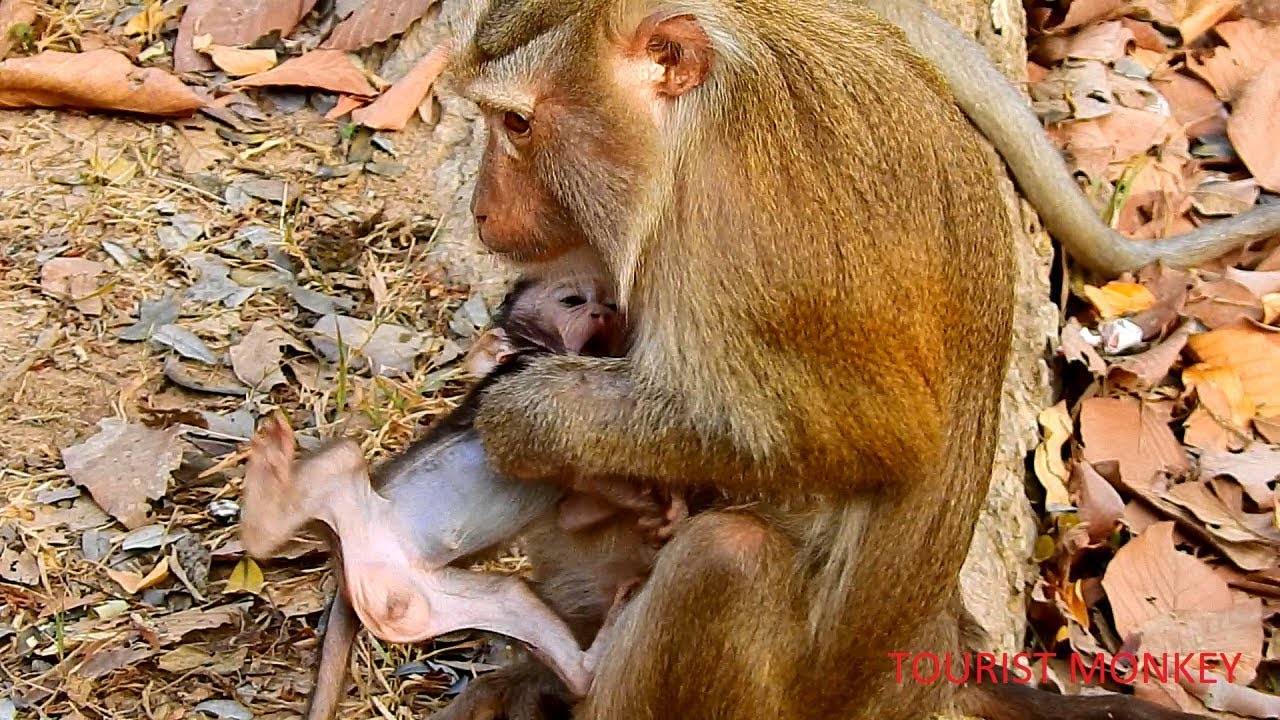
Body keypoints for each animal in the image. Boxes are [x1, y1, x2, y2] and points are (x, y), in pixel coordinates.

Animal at [440, 2, 1216, 720]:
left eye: (516, 125)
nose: (480, 210)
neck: (696, 132)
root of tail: (931, 663)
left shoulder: (750, 240)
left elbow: (871, 435)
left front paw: (525, 417)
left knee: (726, 555)